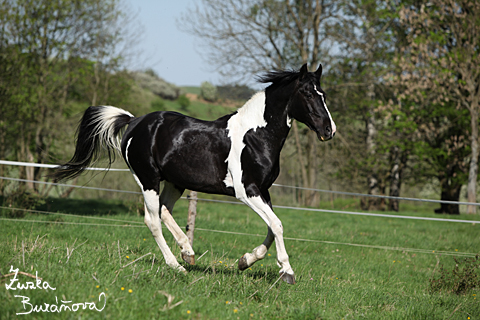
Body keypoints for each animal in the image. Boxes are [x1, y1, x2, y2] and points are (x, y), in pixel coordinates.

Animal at [52, 63, 336, 284]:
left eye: (323, 94)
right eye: (307, 94)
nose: (329, 130)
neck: (256, 135)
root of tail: (135, 121)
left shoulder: (263, 191)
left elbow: (271, 227)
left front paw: (245, 261)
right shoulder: (247, 192)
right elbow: (277, 225)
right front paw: (287, 272)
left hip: (175, 182)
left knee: (164, 211)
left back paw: (187, 253)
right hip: (148, 180)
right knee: (152, 220)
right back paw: (176, 266)